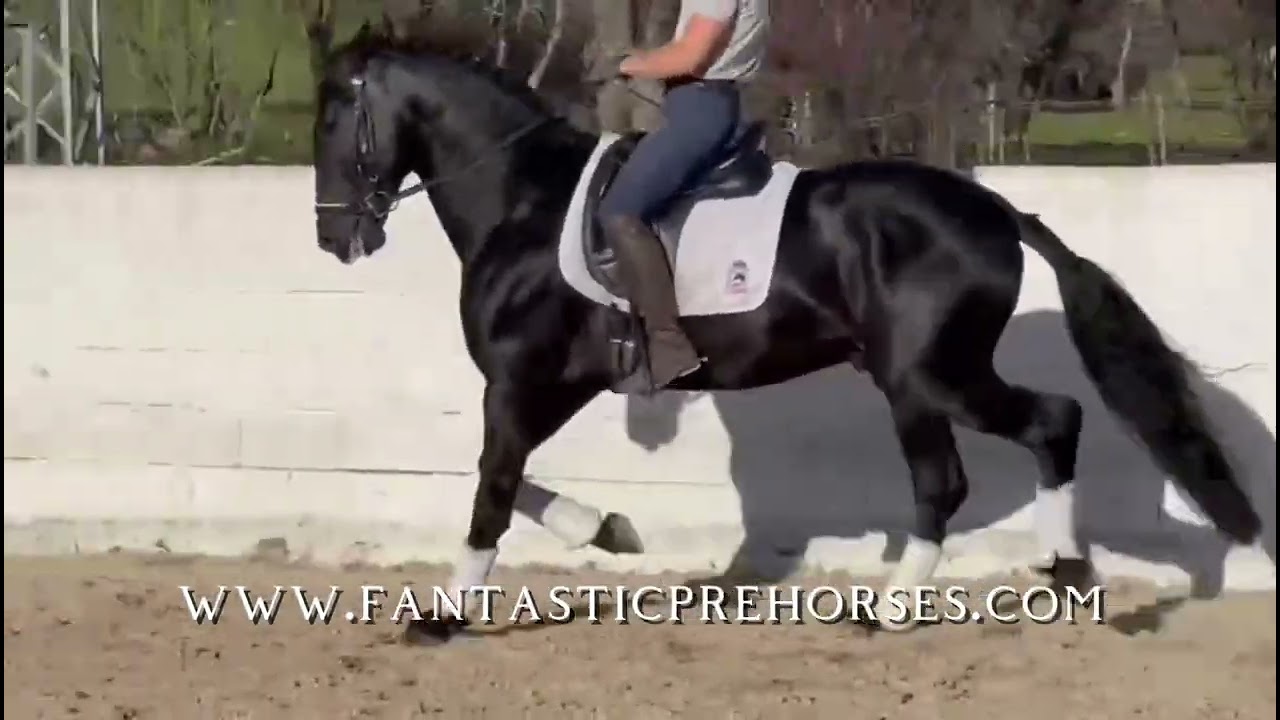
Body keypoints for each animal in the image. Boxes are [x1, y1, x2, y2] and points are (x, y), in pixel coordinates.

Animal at [309, 20, 1261, 645]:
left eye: (331, 119)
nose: (336, 238)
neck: (525, 200)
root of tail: (993, 209)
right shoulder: (562, 381)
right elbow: (515, 483)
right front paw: (608, 529)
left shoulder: (518, 380)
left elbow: (493, 488)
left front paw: (441, 617)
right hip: (937, 374)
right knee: (1051, 423)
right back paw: (1064, 570)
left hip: (923, 376)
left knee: (963, 469)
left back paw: (894, 608)